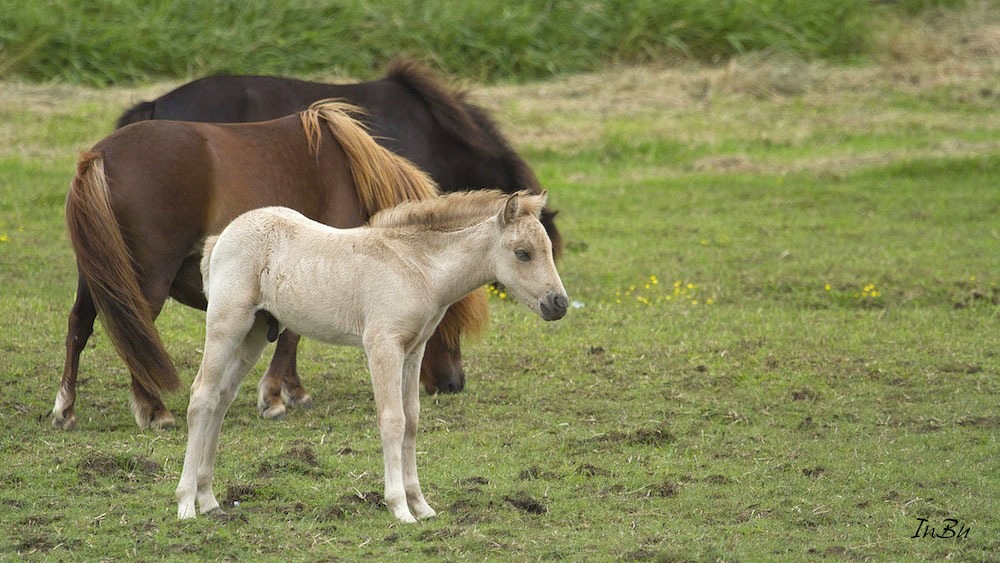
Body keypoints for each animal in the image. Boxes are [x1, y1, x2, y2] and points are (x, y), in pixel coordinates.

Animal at [54, 101, 488, 430]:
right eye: (450, 322)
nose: (454, 383)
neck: (348, 176)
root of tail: (99, 156)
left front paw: (293, 391)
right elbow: (292, 336)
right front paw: (275, 397)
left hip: (99, 275)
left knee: (79, 326)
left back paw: (66, 408)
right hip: (145, 281)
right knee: (135, 333)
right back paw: (154, 410)